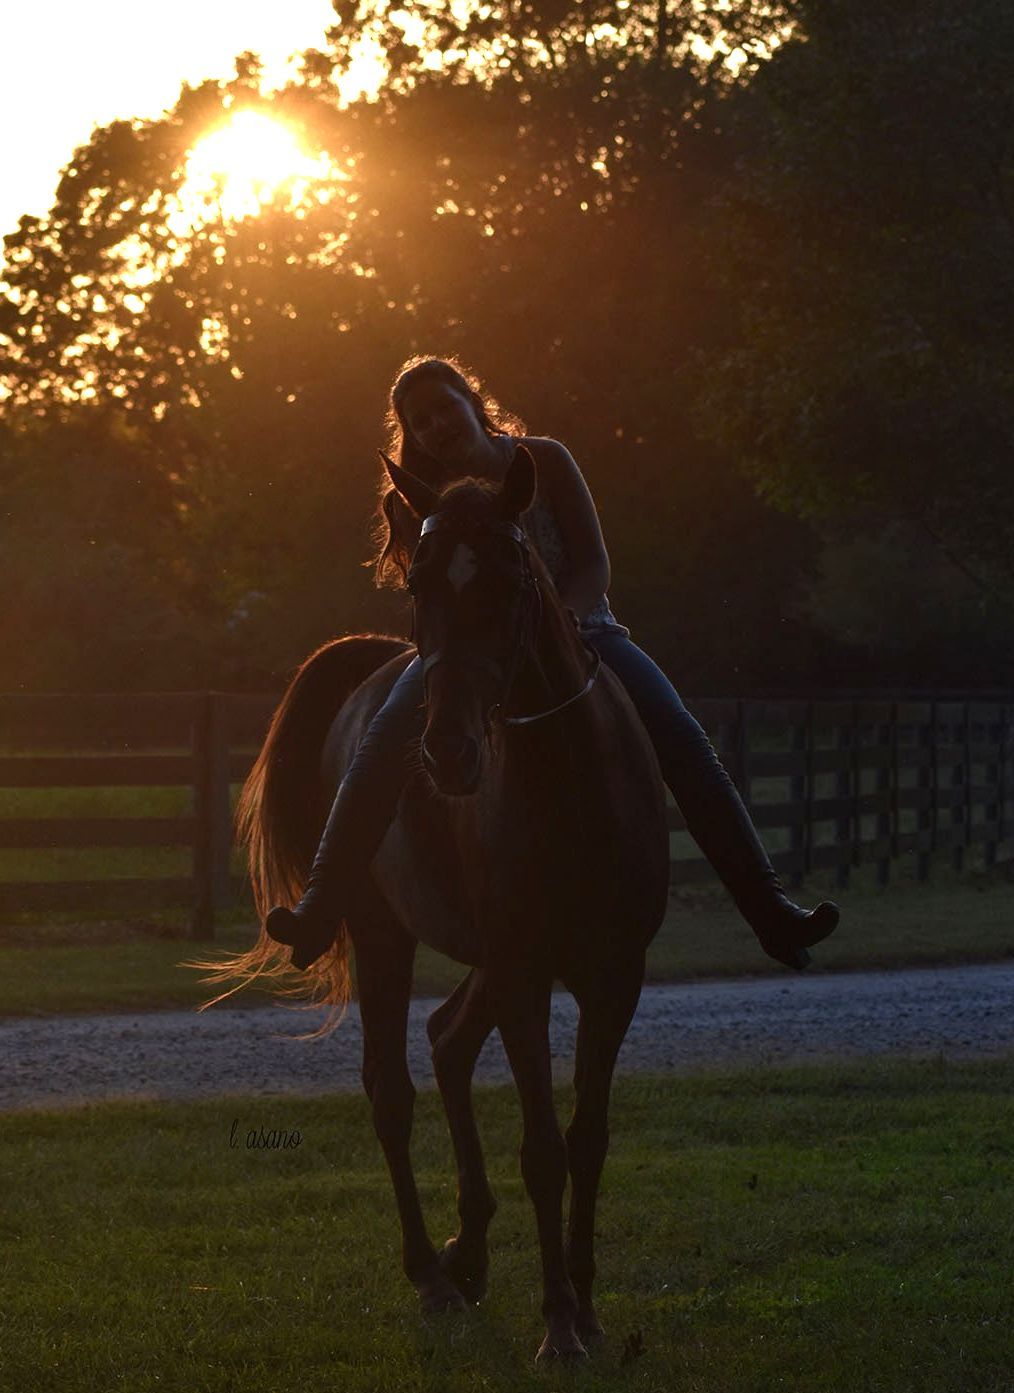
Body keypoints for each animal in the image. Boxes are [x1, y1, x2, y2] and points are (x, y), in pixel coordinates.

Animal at [200, 445, 674, 1359]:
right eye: (418, 582)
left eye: (510, 578)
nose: (448, 749)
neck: (575, 790)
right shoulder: (522, 974)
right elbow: (543, 1148)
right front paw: (558, 1323)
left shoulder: (614, 976)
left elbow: (588, 1138)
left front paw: (587, 1306)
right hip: (383, 933)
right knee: (392, 1087)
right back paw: (433, 1271)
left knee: (448, 1041)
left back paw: (470, 1252)